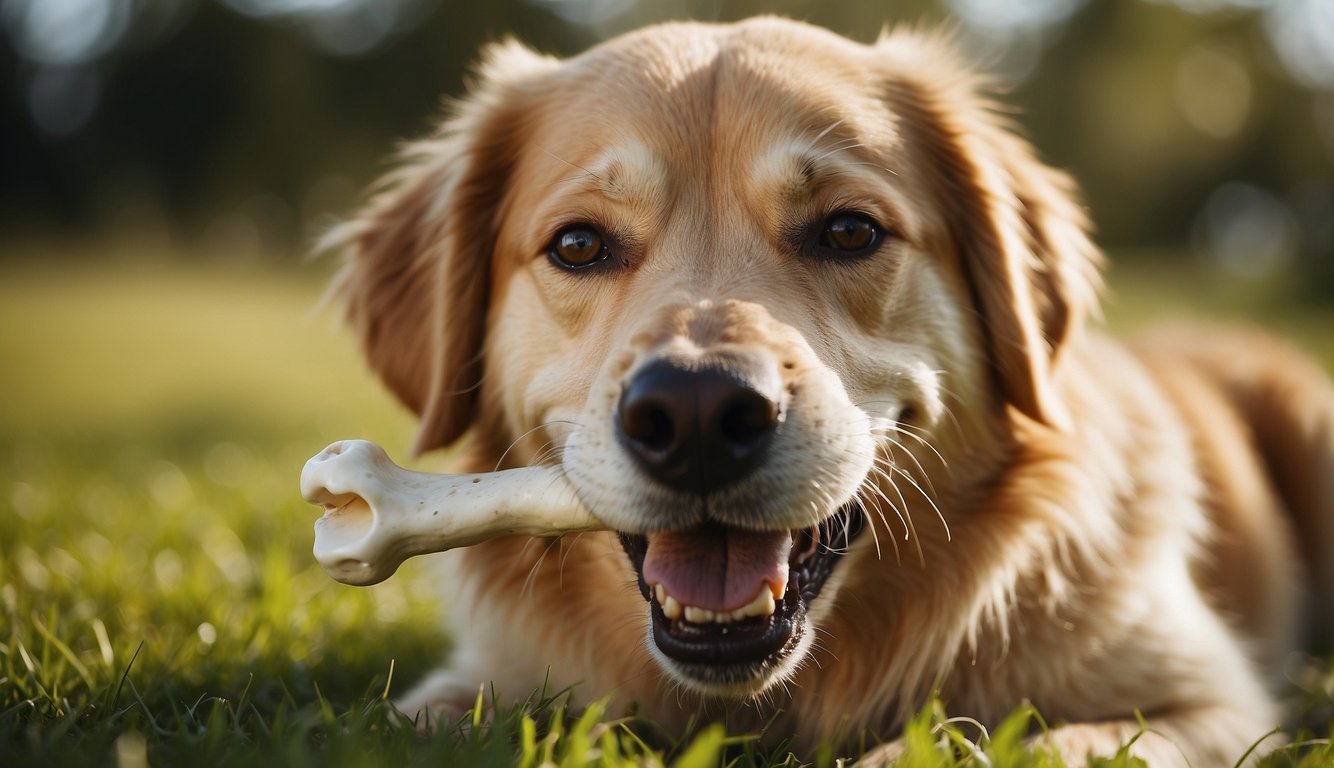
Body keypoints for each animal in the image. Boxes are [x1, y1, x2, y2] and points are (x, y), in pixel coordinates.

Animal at [325, 16, 1334, 762]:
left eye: (850, 230)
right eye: (578, 244)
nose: (696, 413)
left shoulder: (1215, 707)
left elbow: (1033, 741)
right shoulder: (480, 679)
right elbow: (411, 718)